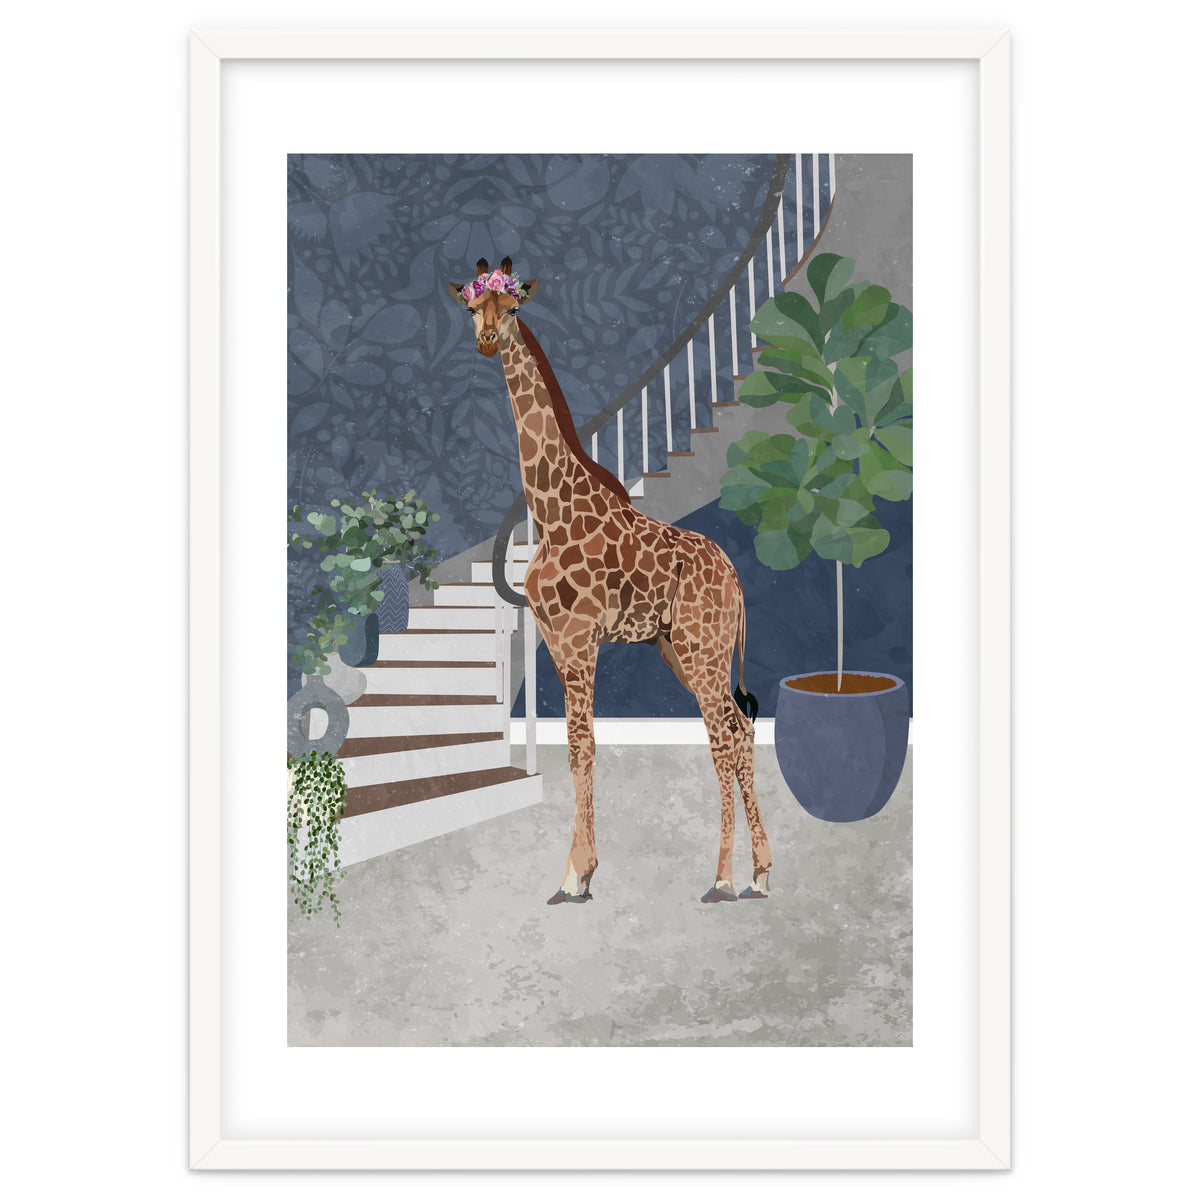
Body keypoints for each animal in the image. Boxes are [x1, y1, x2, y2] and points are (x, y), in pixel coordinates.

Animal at [451, 257, 772, 905]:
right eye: (473, 307)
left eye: (513, 307)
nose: (488, 340)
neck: (550, 510)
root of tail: (735, 578)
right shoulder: (555, 640)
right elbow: (578, 747)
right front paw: (580, 871)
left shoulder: (579, 640)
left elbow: (584, 744)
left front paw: (576, 875)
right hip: (683, 649)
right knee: (742, 729)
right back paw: (760, 873)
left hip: (703, 649)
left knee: (723, 738)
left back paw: (723, 878)